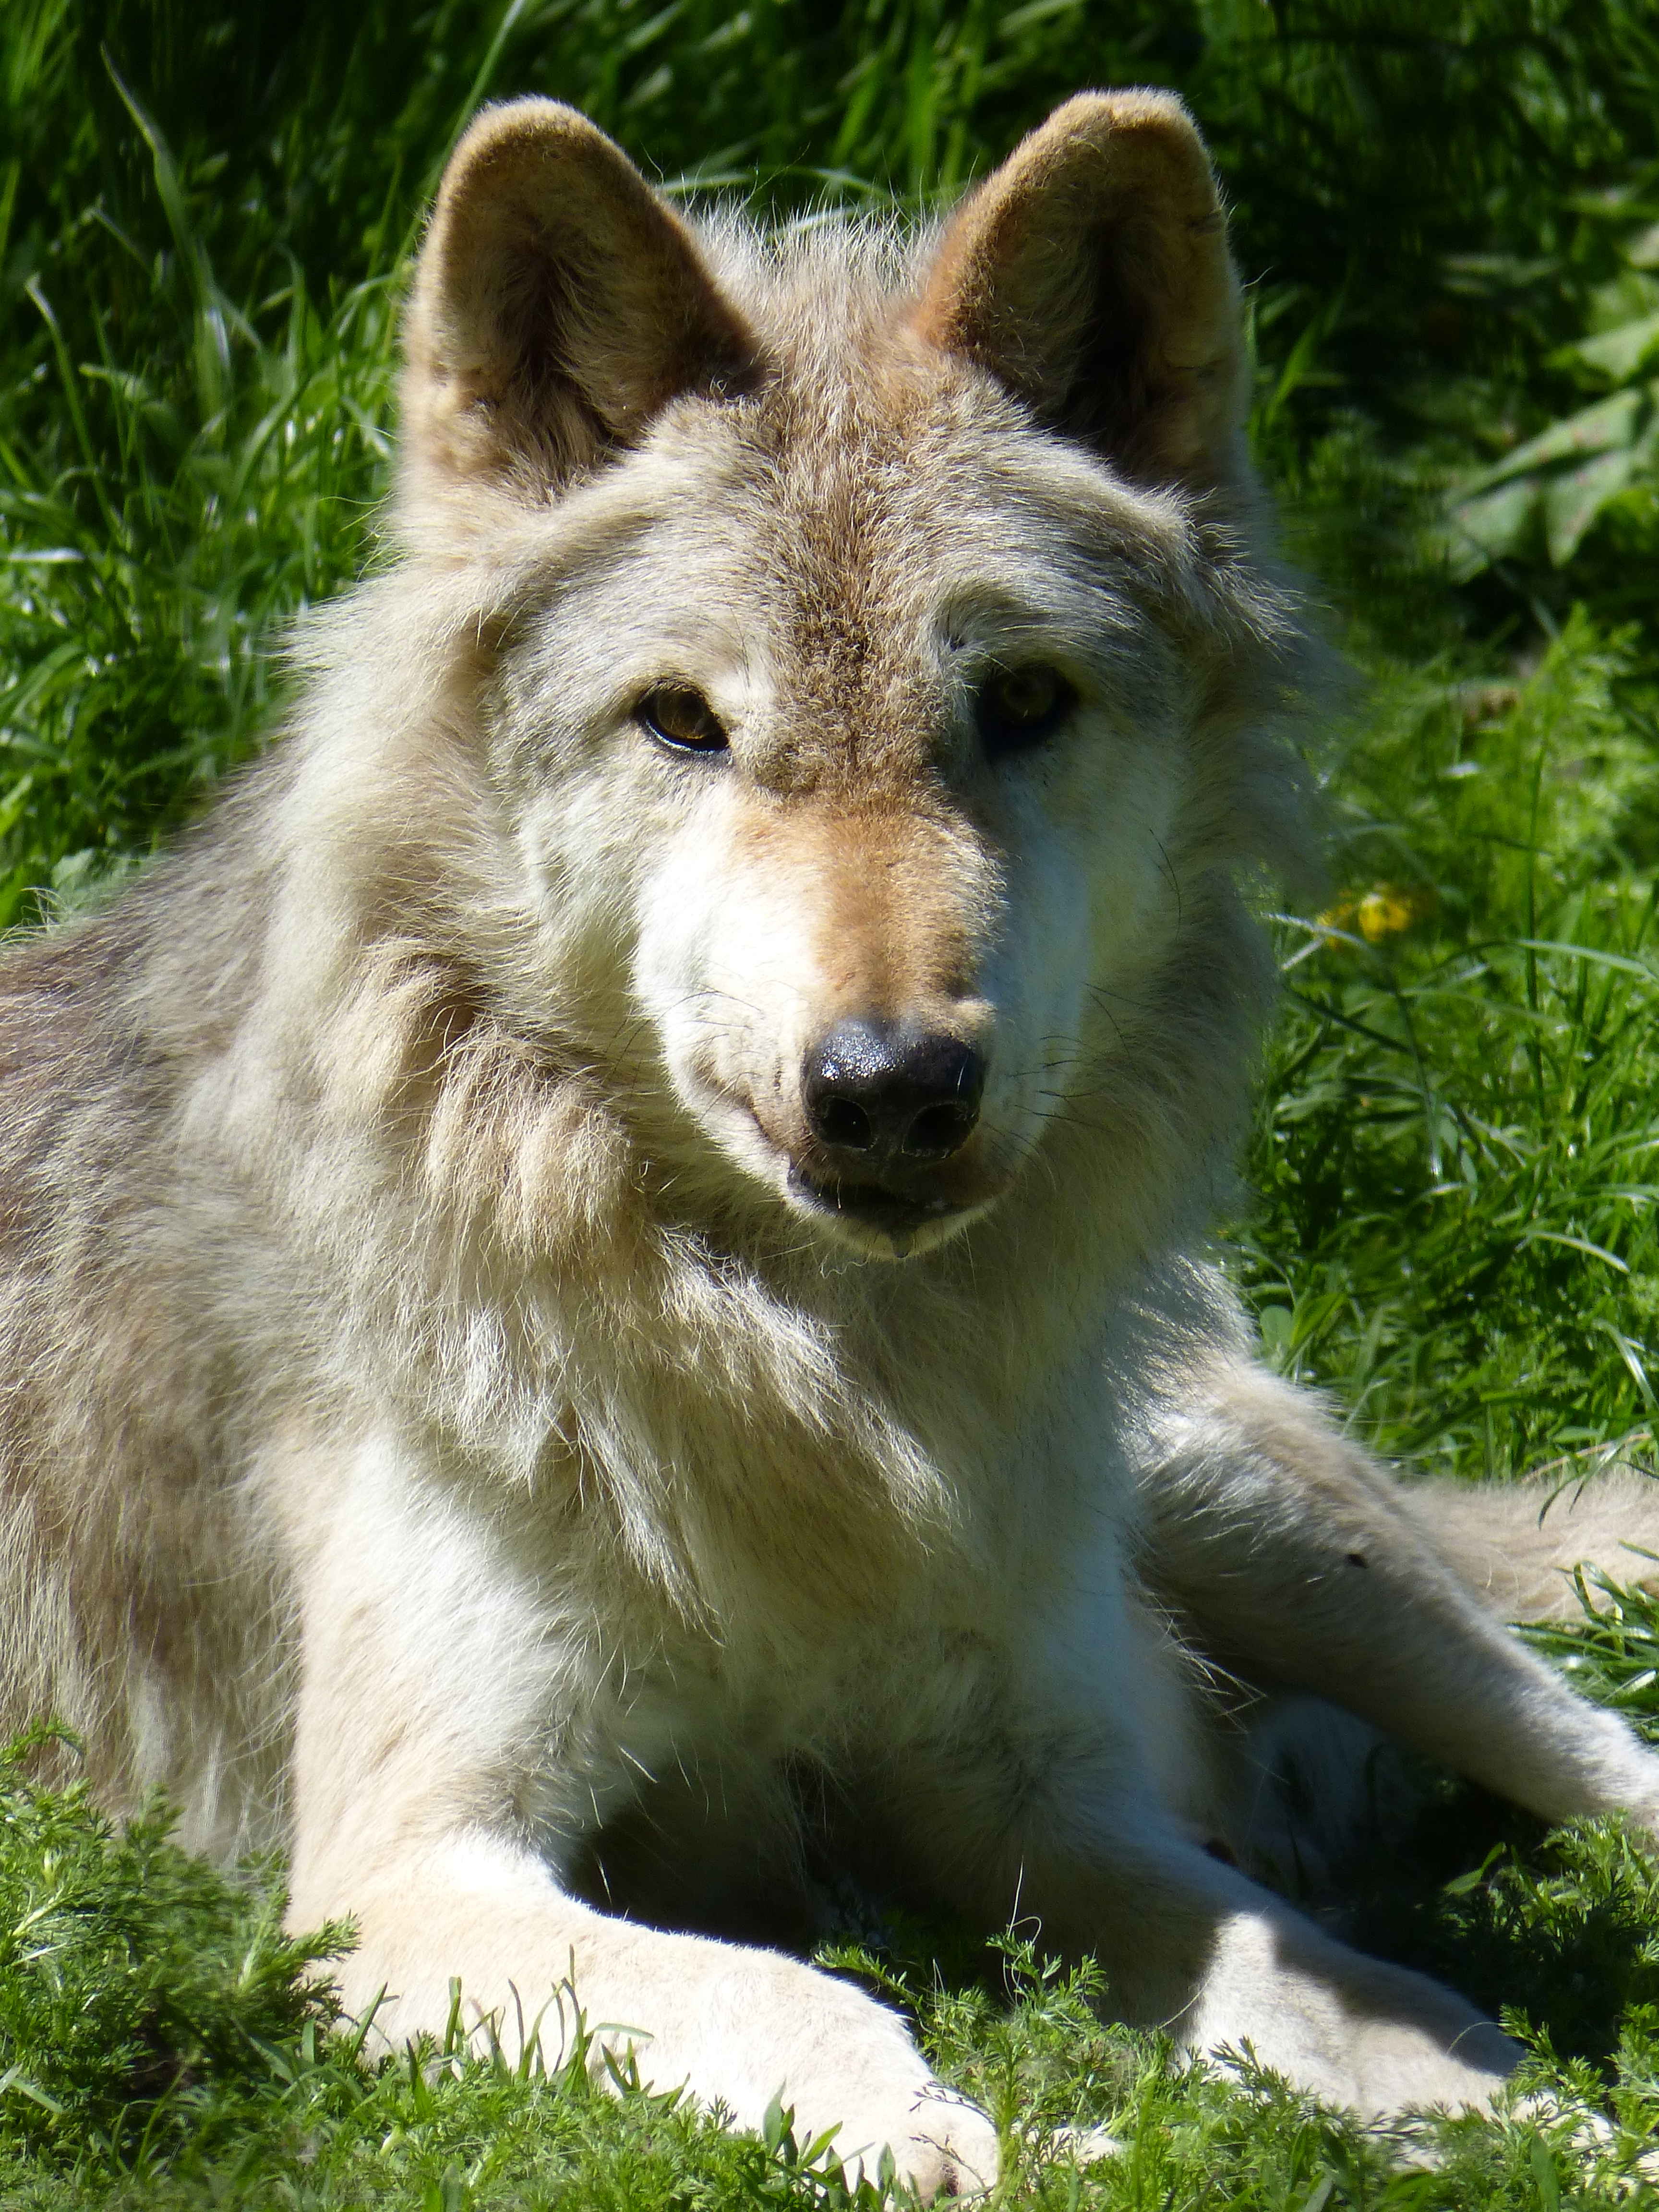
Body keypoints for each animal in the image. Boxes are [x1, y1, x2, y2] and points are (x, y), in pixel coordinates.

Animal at [3, 85, 1658, 2198]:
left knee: (1600, 1762)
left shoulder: (1045, 1804)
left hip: (1258, 1513)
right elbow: (802, 1994)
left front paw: (1541, 2125)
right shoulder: (402, 1871)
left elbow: (1361, 1997)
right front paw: (974, 2135)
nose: (889, 1085)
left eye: (1020, 701)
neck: (805, 1376)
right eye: (683, 723)